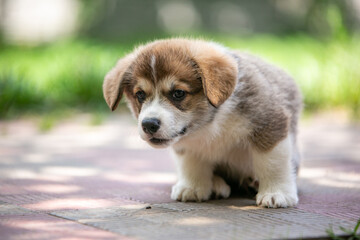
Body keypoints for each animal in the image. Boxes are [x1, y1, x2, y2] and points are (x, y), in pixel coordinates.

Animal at [102, 38, 302, 207]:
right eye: (140, 95)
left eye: (178, 93)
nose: (149, 124)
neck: (210, 123)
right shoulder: (189, 146)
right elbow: (192, 163)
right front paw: (192, 188)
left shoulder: (270, 124)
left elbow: (272, 163)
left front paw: (276, 193)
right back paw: (217, 184)